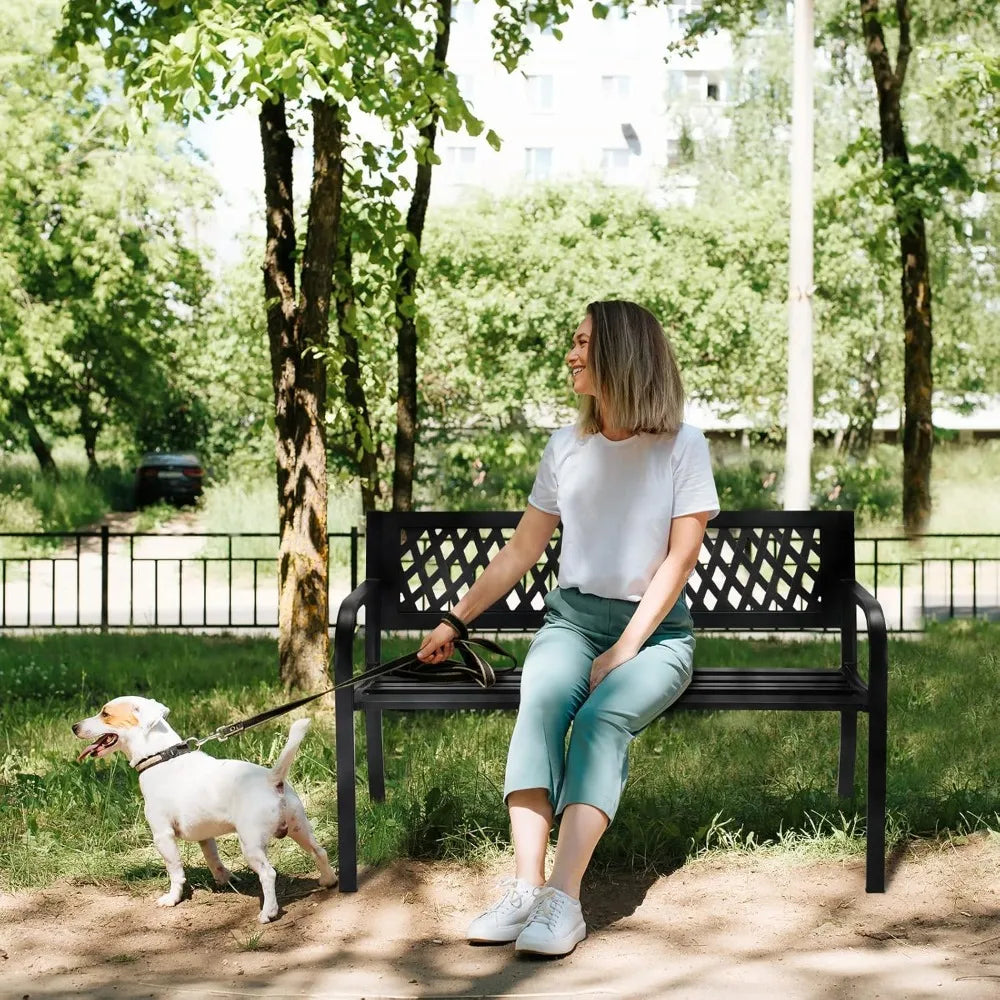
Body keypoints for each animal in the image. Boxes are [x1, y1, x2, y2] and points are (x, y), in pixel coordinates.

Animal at [71, 696, 336, 920]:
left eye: (105, 714)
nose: (74, 726)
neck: (160, 757)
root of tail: (273, 780)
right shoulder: (205, 836)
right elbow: (213, 860)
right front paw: (225, 880)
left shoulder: (162, 836)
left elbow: (175, 871)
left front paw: (172, 898)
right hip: (300, 828)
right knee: (320, 851)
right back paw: (328, 880)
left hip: (251, 844)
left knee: (268, 874)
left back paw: (268, 913)